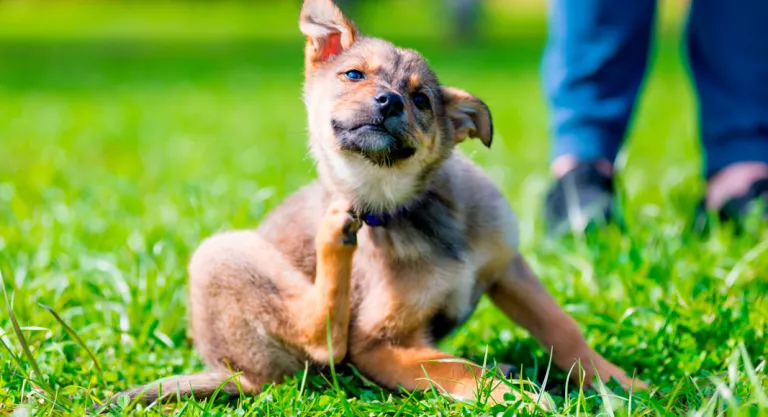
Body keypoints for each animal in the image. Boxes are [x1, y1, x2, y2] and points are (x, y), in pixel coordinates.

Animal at [102, 0, 640, 410]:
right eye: (354, 75)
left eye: (422, 100)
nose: (388, 102)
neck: (409, 207)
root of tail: (230, 372)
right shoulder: (379, 344)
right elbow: (460, 369)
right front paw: (518, 398)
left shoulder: (509, 267)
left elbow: (563, 329)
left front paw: (619, 382)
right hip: (220, 254)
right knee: (322, 338)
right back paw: (333, 237)